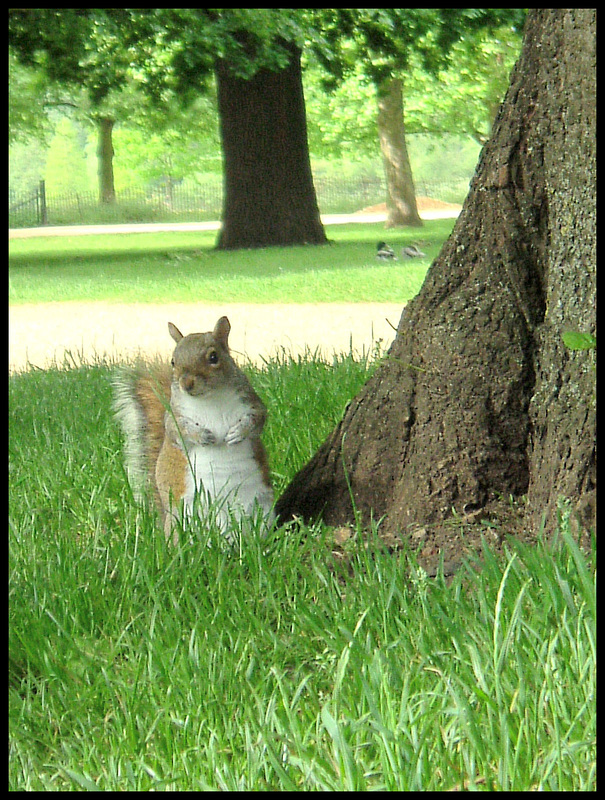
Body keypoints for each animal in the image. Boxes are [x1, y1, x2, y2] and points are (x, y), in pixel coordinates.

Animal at [112, 316, 274, 548]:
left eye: (213, 357)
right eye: (173, 362)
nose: (186, 383)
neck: (209, 398)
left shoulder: (252, 402)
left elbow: (258, 419)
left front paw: (238, 432)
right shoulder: (174, 417)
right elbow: (178, 431)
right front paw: (203, 436)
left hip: (262, 508)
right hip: (183, 518)